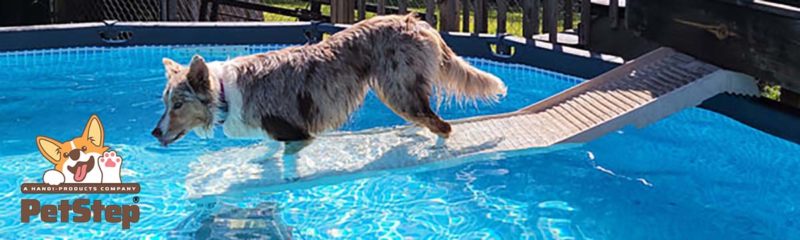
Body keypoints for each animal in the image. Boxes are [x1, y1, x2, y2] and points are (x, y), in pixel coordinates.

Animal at [150, 14, 506, 146]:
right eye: (165, 103)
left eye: (178, 104)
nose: (153, 132)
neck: (224, 92)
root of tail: (416, 21)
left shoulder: (295, 133)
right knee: (429, 118)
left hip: (397, 90)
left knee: (441, 125)